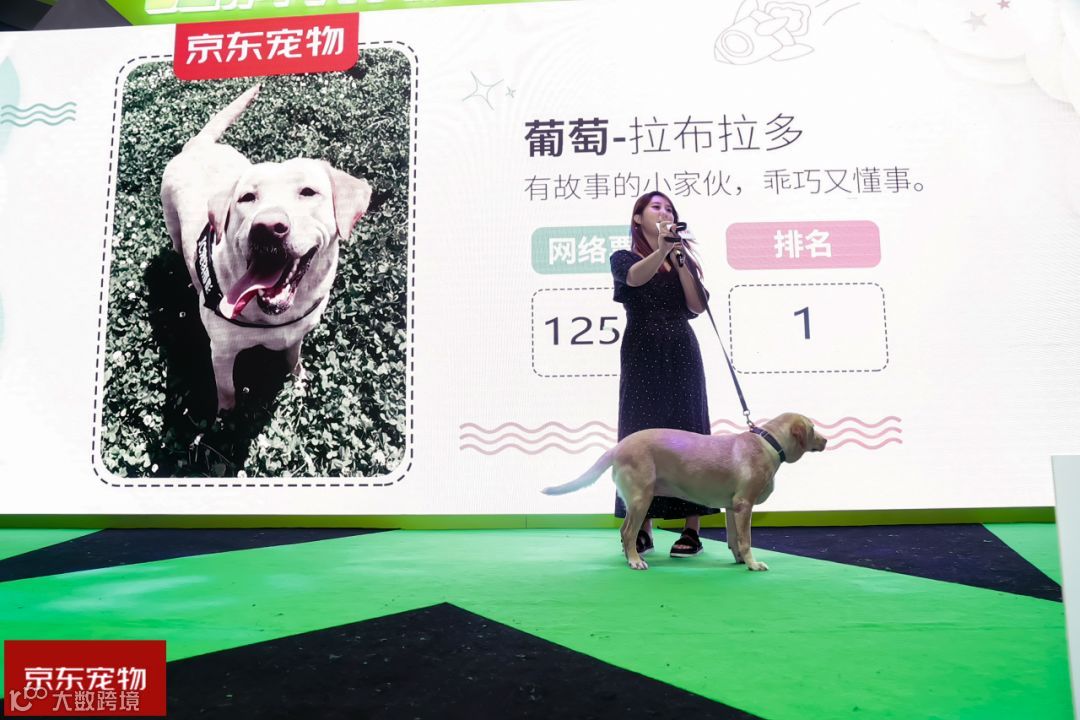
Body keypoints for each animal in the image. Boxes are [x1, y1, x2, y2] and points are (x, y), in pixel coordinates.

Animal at [160, 85, 372, 412]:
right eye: (247, 197)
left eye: (308, 192)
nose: (268, 228)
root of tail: (199, 144)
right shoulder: (221, 353)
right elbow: (227, 391)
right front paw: (226, 418)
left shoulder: (296, 336)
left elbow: (294, 360)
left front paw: (298, 382)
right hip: (171, 220)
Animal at [542, 413, 827, 571]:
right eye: (813, 428)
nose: (826, 440)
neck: (770, 443)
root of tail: (619, 446)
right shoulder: (745, 504)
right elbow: (746, 540)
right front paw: (753, 564)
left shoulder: (732, 507)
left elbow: (734, 539)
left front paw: (738, 560)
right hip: (641, 499)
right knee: (628, 532)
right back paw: (635, 561)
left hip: (635, 501)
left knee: (624, 532)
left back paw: (630, 557)